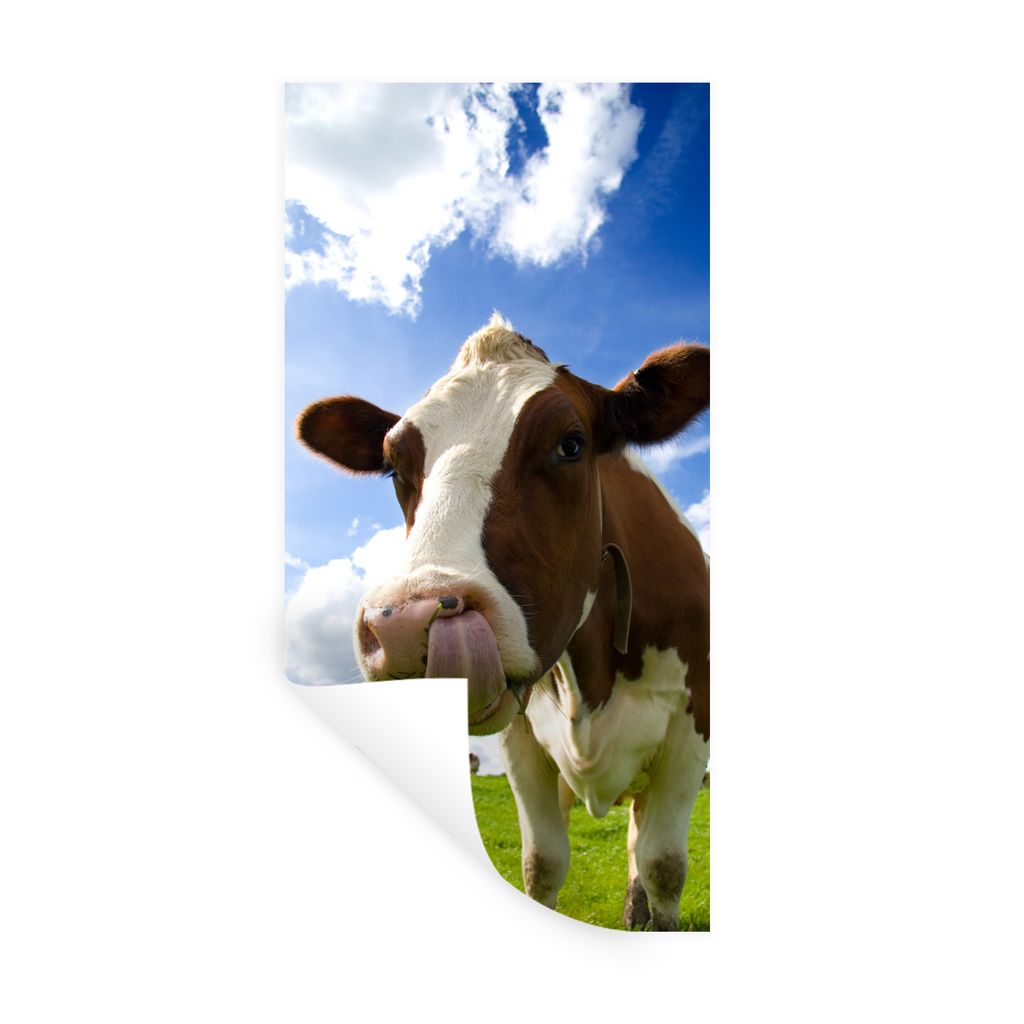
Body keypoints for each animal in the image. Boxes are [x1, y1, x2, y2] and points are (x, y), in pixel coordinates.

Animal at [297, 313, 709, 930]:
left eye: (571, 444)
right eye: (394, 466)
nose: (404, 626)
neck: (593, 681)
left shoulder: (690, 728)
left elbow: (664, 866)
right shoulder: (522, 738)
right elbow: (543, 862)